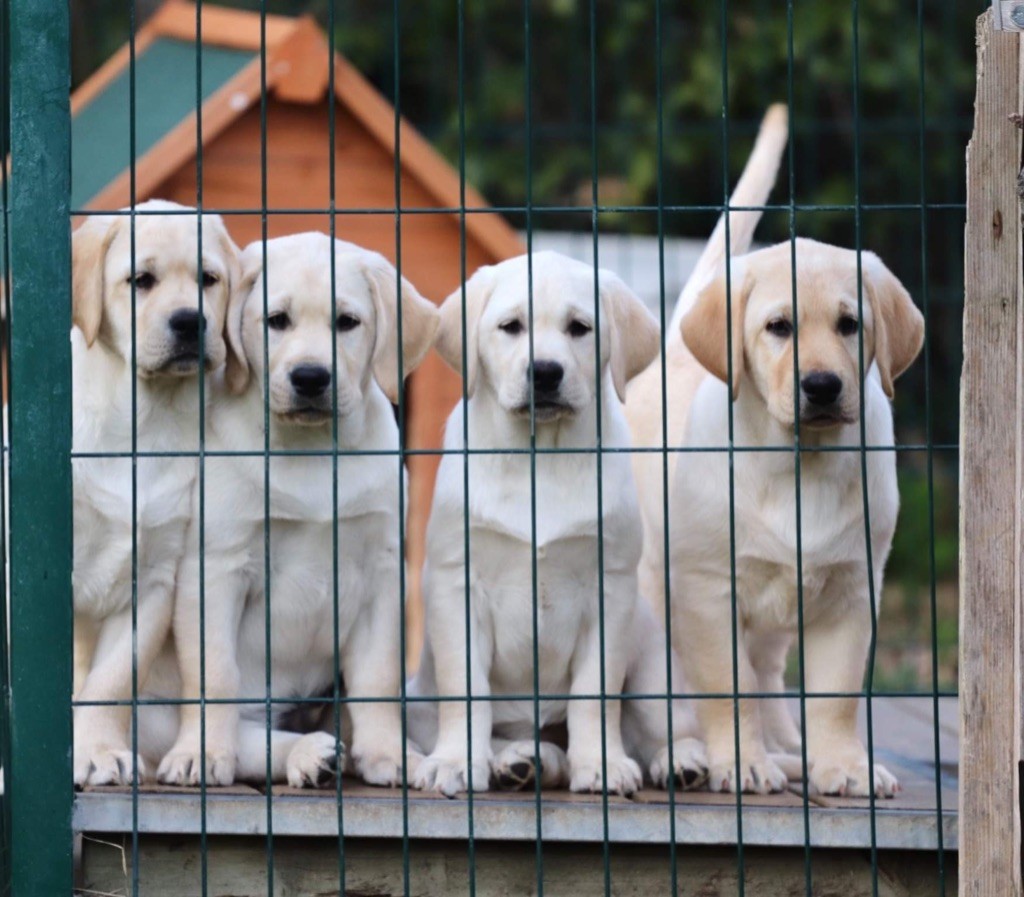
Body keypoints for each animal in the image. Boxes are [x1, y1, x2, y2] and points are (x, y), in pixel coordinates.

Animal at [71, 197, 240, 786]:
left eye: (209, 279)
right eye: (140, 280)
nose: (191, 321)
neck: (142, 418)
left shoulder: (154, 583)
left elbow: (109, 681)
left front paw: (98, 750)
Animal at [157, 234, 438, 786]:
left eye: (347, 322)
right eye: (277, 320)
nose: (310, 377)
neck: (311, 450)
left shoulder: (381, 574)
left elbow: (377, 678)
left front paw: (388, 753)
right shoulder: (216, 570)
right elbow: (215, 674)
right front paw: (202, 753)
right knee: (252, 737)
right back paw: (308, 754)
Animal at [407, 248, 712, 794]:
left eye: (579, 328)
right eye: (511, 326)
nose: (545, 372)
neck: (540, 457)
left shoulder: (608, 590)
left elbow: (595, 695)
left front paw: (603, 764)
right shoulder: (456, 585)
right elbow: (466, 692)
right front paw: (455, 761)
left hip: (653, 667)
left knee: (668, 729)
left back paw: (681, 762)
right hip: (421, 705)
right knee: (528, 743)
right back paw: (522, 761)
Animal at [622, 234, 921, 794]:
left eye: (850, 324)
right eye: (779, 327)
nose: (822, 385)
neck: (800, 463)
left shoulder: (853, 590)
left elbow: (835, 694)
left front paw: (844, 766)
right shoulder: (709, 591)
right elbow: (727, 687)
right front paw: (742, 764)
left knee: (768, 675)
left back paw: (788, 747)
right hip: (650, 588)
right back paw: (683, 757)